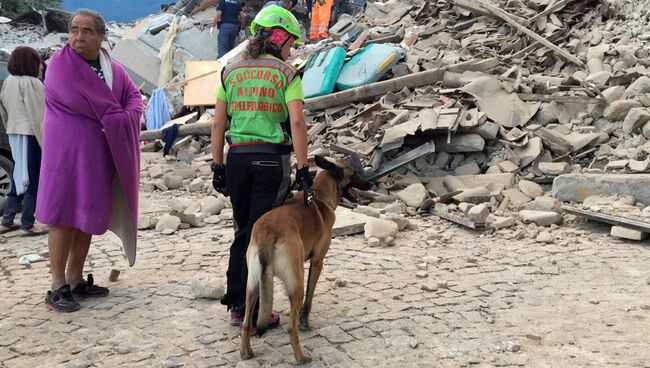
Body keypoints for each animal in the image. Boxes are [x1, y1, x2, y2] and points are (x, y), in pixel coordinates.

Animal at [239, 155, 372, 362]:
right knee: (290, 326)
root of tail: (267, 231)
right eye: (354, 174)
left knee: (246, 322)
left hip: (253, 285)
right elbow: (309, 299)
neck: (318, 196)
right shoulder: (317, 263)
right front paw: (305, 323)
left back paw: (246, 352)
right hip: (296, 283)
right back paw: (301, 357)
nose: (371, 183)